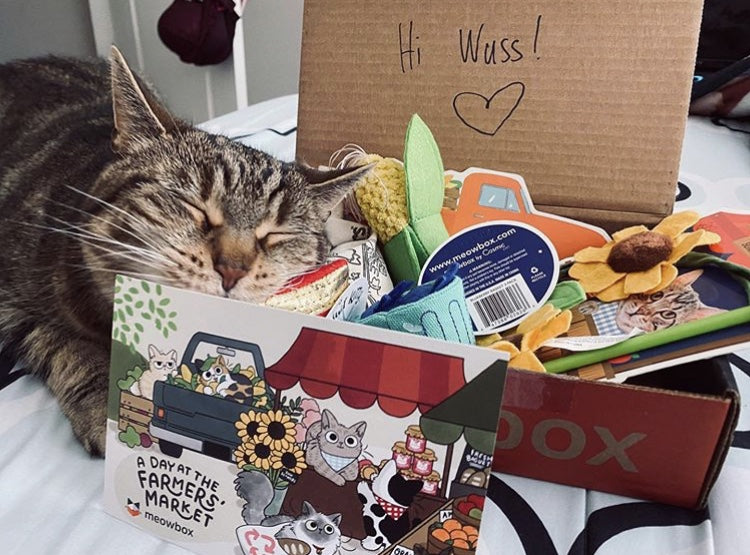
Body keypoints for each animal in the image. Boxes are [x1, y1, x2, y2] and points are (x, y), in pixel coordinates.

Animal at [0, 47, 372, 456]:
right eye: (195, 206)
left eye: (276, 233)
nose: (232, 268)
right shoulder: (12, 307)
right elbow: (68, 346)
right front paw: (104, 402)